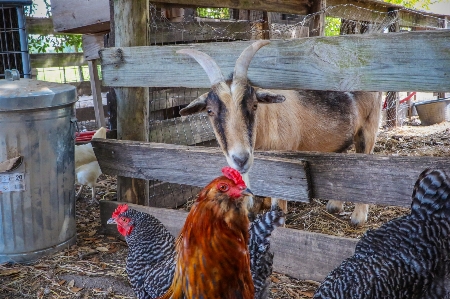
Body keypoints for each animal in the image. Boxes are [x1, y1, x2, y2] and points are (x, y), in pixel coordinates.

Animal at [178, 41, 382, 226]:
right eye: (210, 111)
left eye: (254, 105)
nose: (241, 159)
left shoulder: (283, 175)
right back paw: (334, 205)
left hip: (369, 129)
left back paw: (358, 217)